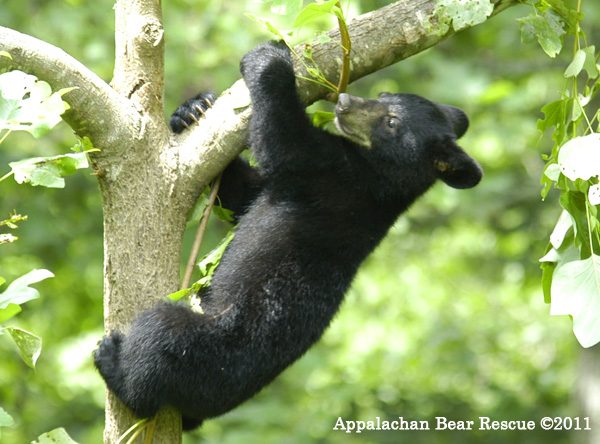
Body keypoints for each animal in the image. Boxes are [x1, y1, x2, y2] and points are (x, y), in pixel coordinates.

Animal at [93, 41, 482, 431]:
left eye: (391, 121)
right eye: (384, 96)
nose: (344, 102)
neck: (385, 176)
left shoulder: (336, 178)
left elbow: (283, 142)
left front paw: (269, 59)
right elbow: (244, 193)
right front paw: (192, 109)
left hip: (211, 348)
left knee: (159, 342)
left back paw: (114, 364)